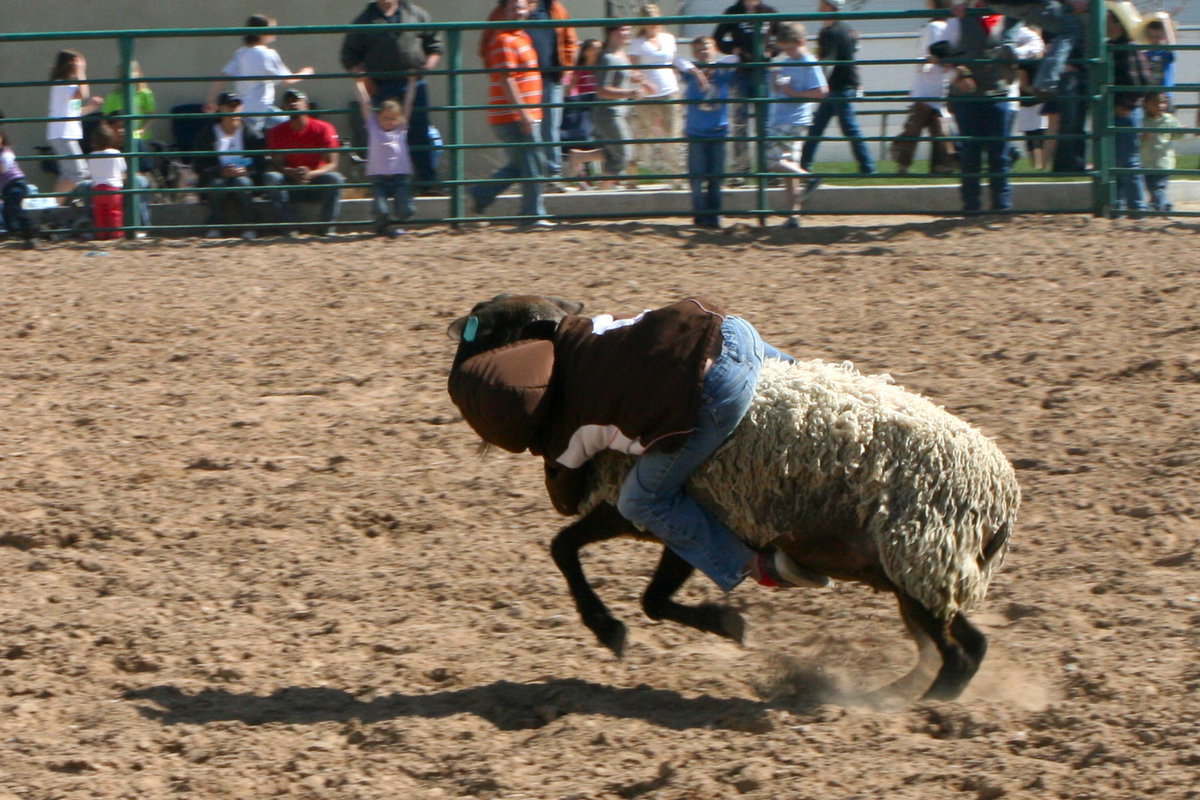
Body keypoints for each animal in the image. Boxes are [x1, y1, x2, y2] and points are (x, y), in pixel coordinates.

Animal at [451, 293, 1022, 700]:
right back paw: (894, 692)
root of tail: (1000, 497)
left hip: (921, 559)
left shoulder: (648, 502)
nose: (452, 343)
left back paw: (917, 706)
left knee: (959, 654)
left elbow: (618, 578)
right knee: (961, 645)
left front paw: (643, 628)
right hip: (917, 573)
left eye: (492, 330)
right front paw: (633, 628)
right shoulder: (661, 517)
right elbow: (585, 560)